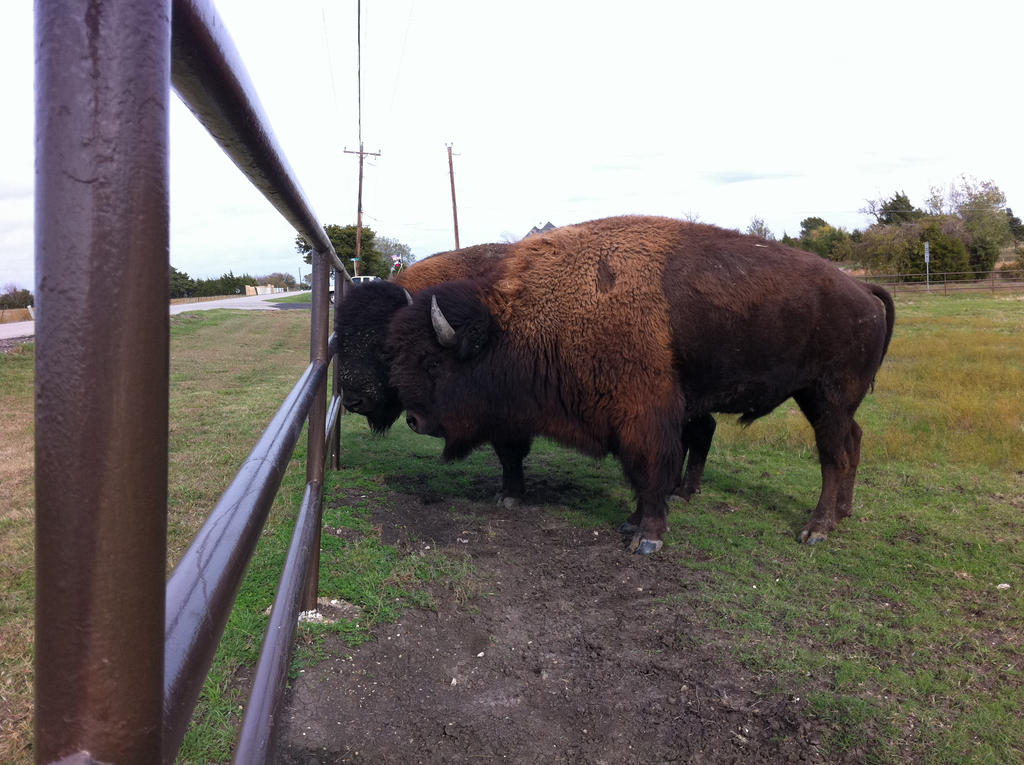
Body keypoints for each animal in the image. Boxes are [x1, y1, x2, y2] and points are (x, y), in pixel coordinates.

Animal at [387, 215, 892, 557]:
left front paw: (647, 538)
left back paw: (816, 529)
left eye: (433, 361)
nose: (412, 419)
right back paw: (842, 513)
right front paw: (632, 525)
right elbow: (639, 474)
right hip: (824, 400)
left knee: (833, 455)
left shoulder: (644, 416)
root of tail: (863, 290)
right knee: (852, 441)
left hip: (828, 395)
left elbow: (650, 470)